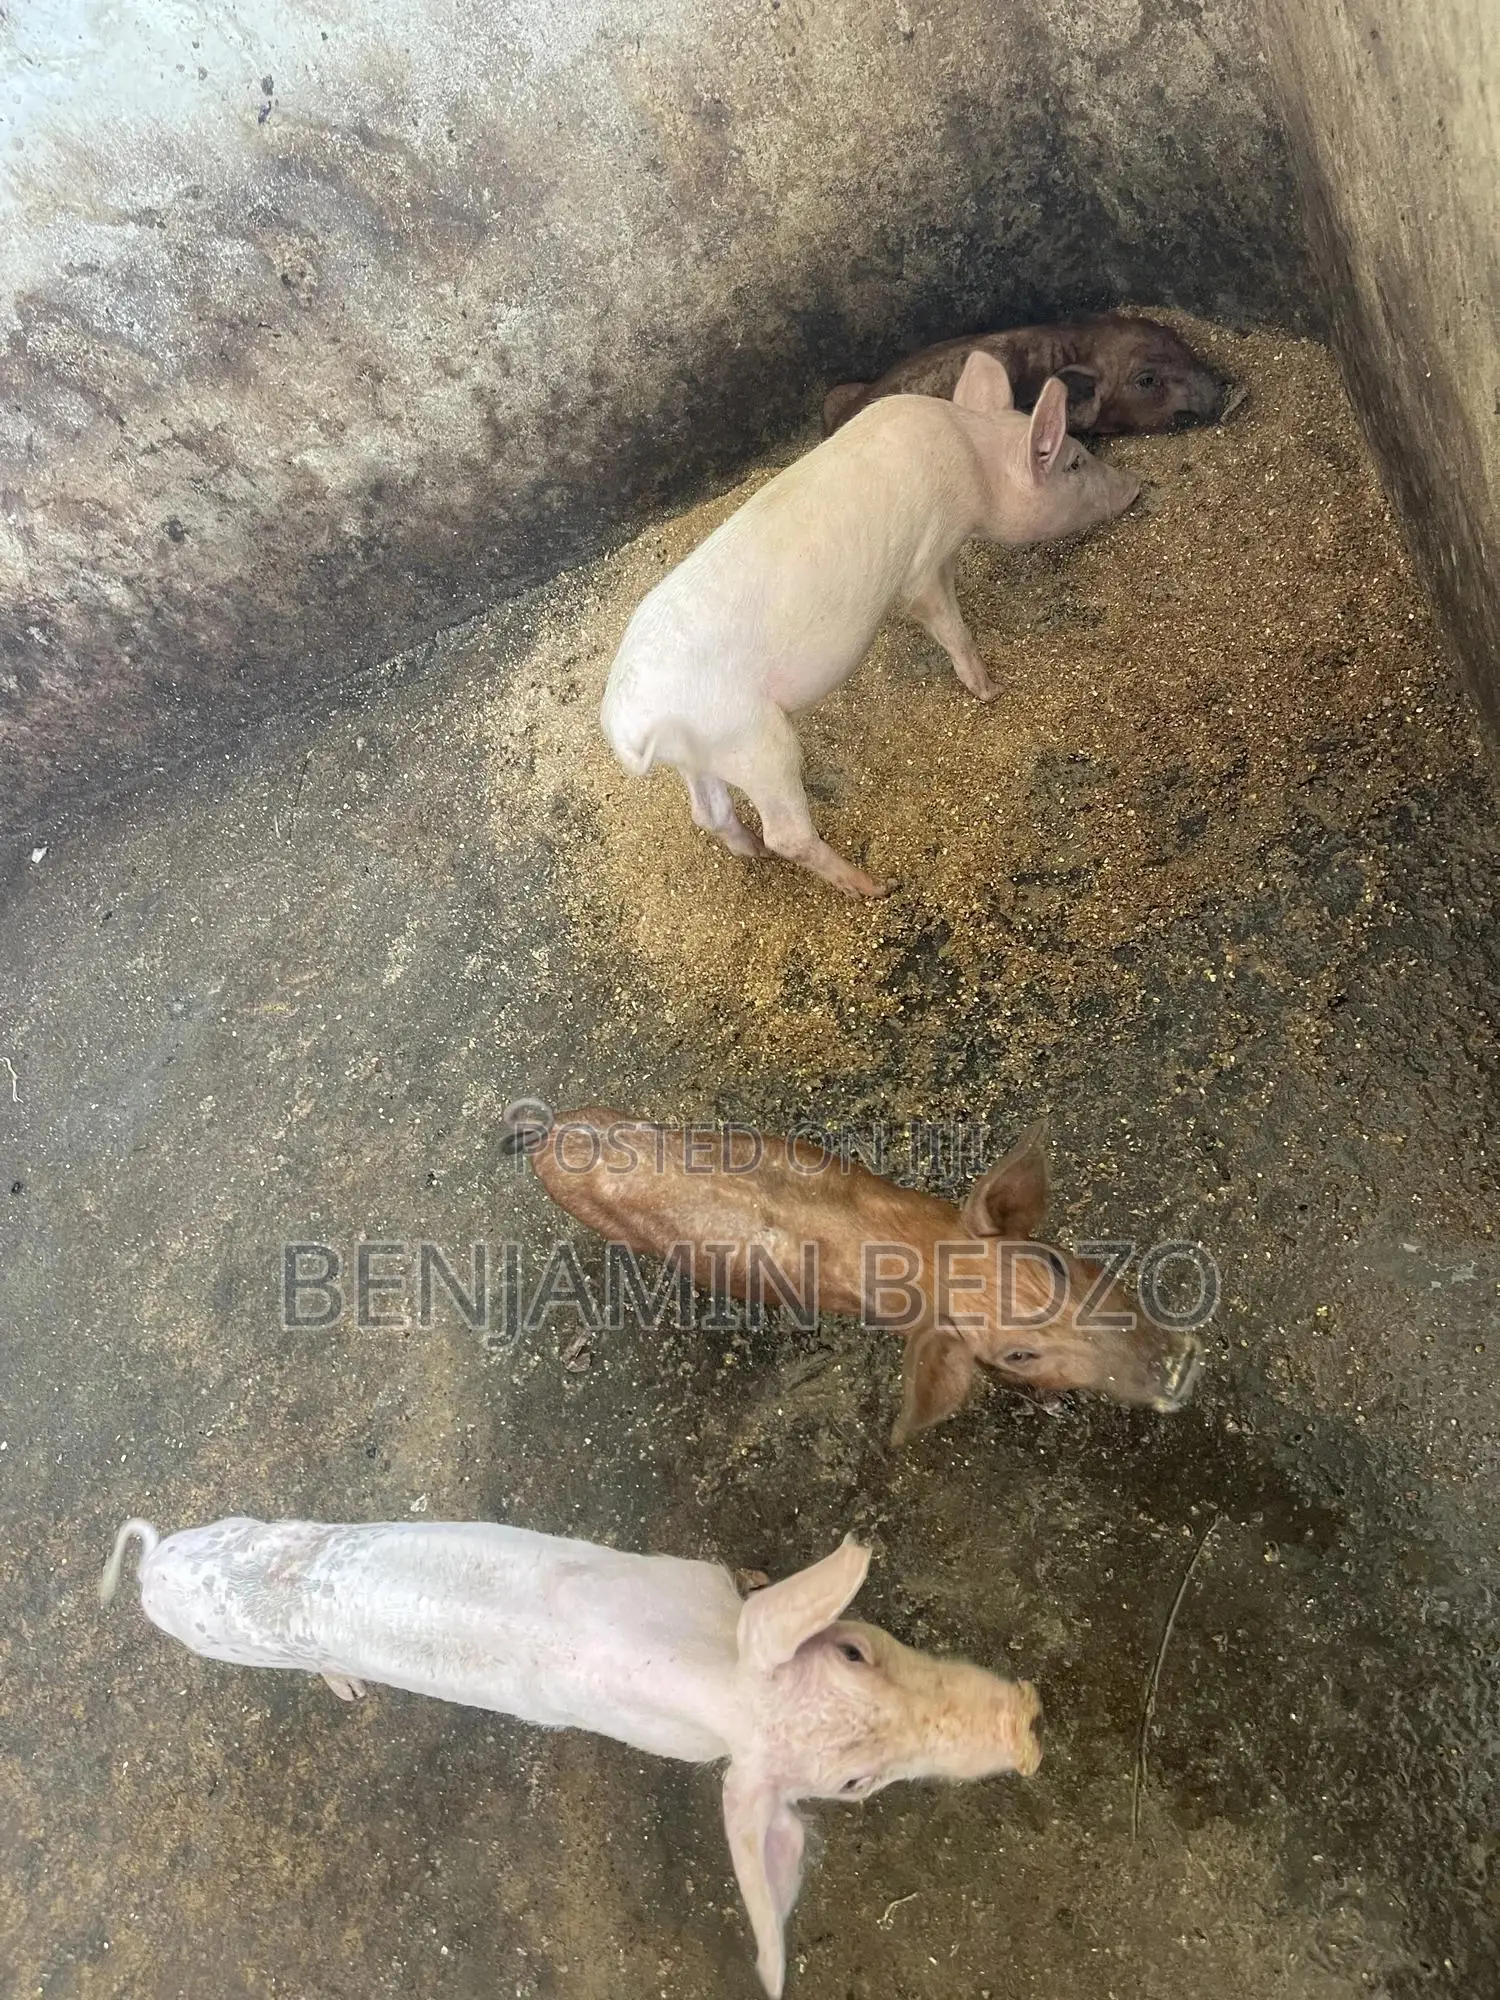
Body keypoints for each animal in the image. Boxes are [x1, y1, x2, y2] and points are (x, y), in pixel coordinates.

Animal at [101, 1518, 1041, 1998]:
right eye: (855, 1786)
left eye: (857, 1649)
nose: (1024, 1729)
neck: (706, 1670)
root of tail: (154, 1565)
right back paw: (348, 1695)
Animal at [600, 350, 1140, 899]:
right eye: (1074, 462)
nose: (1137, 485)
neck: (975, 461)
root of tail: (630, 724)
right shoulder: (926, 560)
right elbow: (946, 622)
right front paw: (993, 691)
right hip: (751, 737)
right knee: (787, 833)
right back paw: (875, 886)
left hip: (701, 753)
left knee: (709, 813)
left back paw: (752, 850)